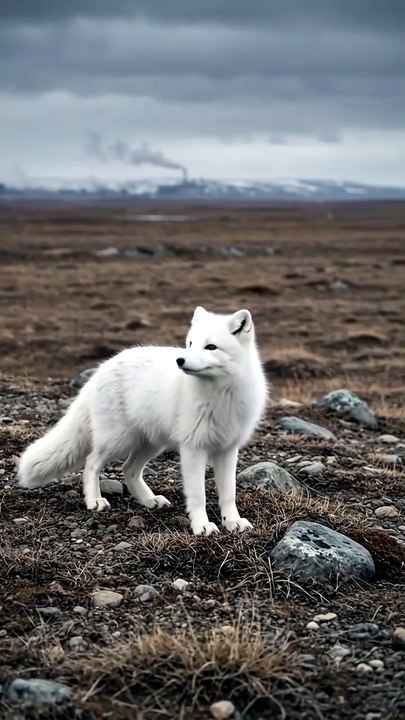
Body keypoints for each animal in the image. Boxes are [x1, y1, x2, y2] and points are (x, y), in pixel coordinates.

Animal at [18, 306, 267, 536]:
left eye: (211, 347)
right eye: (190, 343)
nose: (180, 360)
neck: (221, 393)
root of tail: (101, 369)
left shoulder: (228, 449)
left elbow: (228, 494)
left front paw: (233, 521)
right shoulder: (193, 448)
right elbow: (198, 496)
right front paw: (202, 526)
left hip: (152, 443)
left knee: (128, 469)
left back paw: (150, 500)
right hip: (117, 441)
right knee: (91, 462)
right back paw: (94, 501)